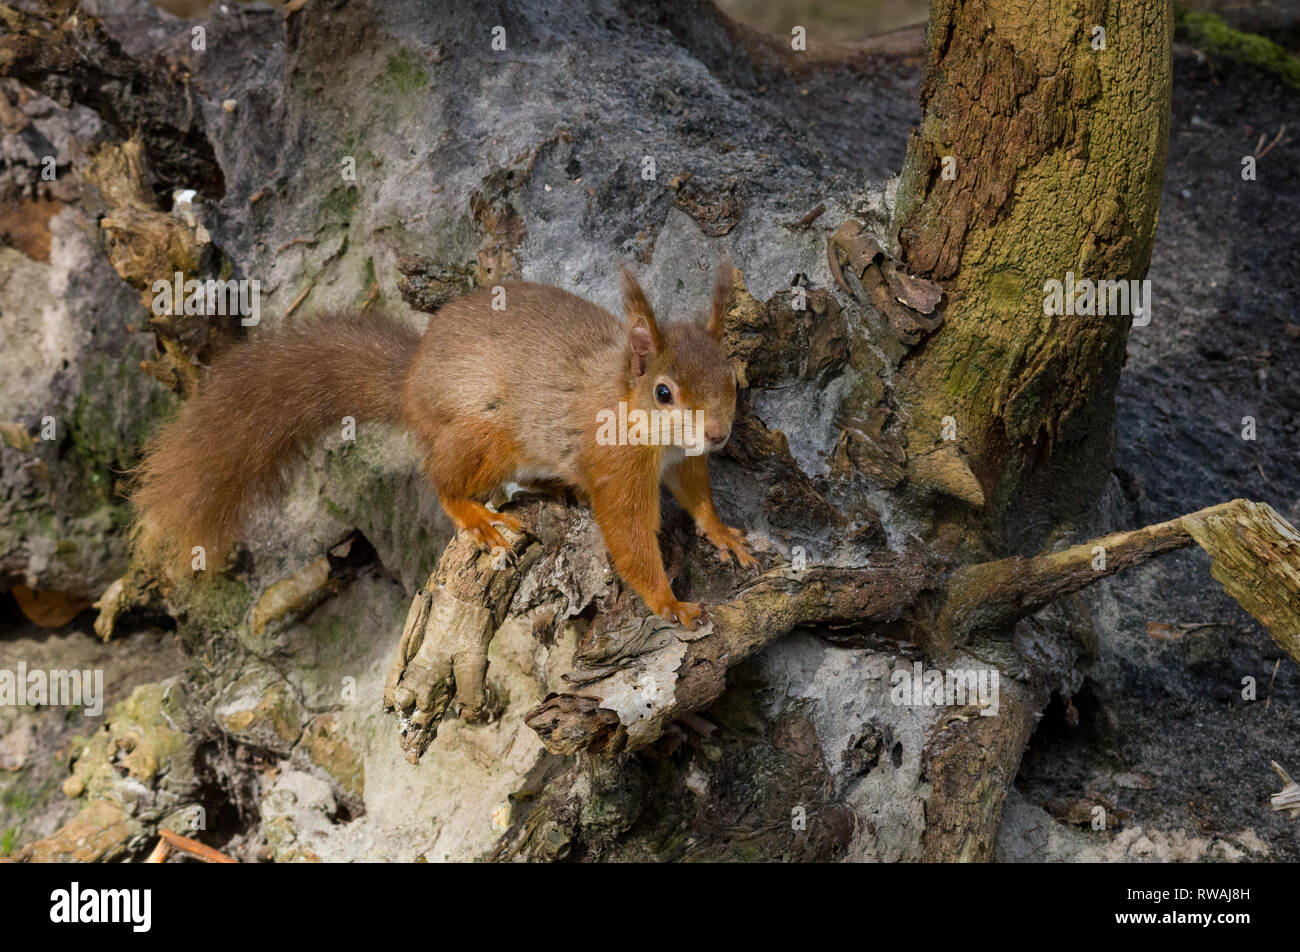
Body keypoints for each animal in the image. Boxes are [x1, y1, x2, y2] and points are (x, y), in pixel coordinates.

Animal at [134, 264, 754, 629]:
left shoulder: (685, 462)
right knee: (442, 478)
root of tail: (409, 385)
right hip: (485, 434)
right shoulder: (616, 465)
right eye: (664, 392)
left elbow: (697, 495)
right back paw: (478, 517)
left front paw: (724, 533)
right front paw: (669, 603)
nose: (719, 434)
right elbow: (629, 538)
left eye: (731, 376)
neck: (628, 405)